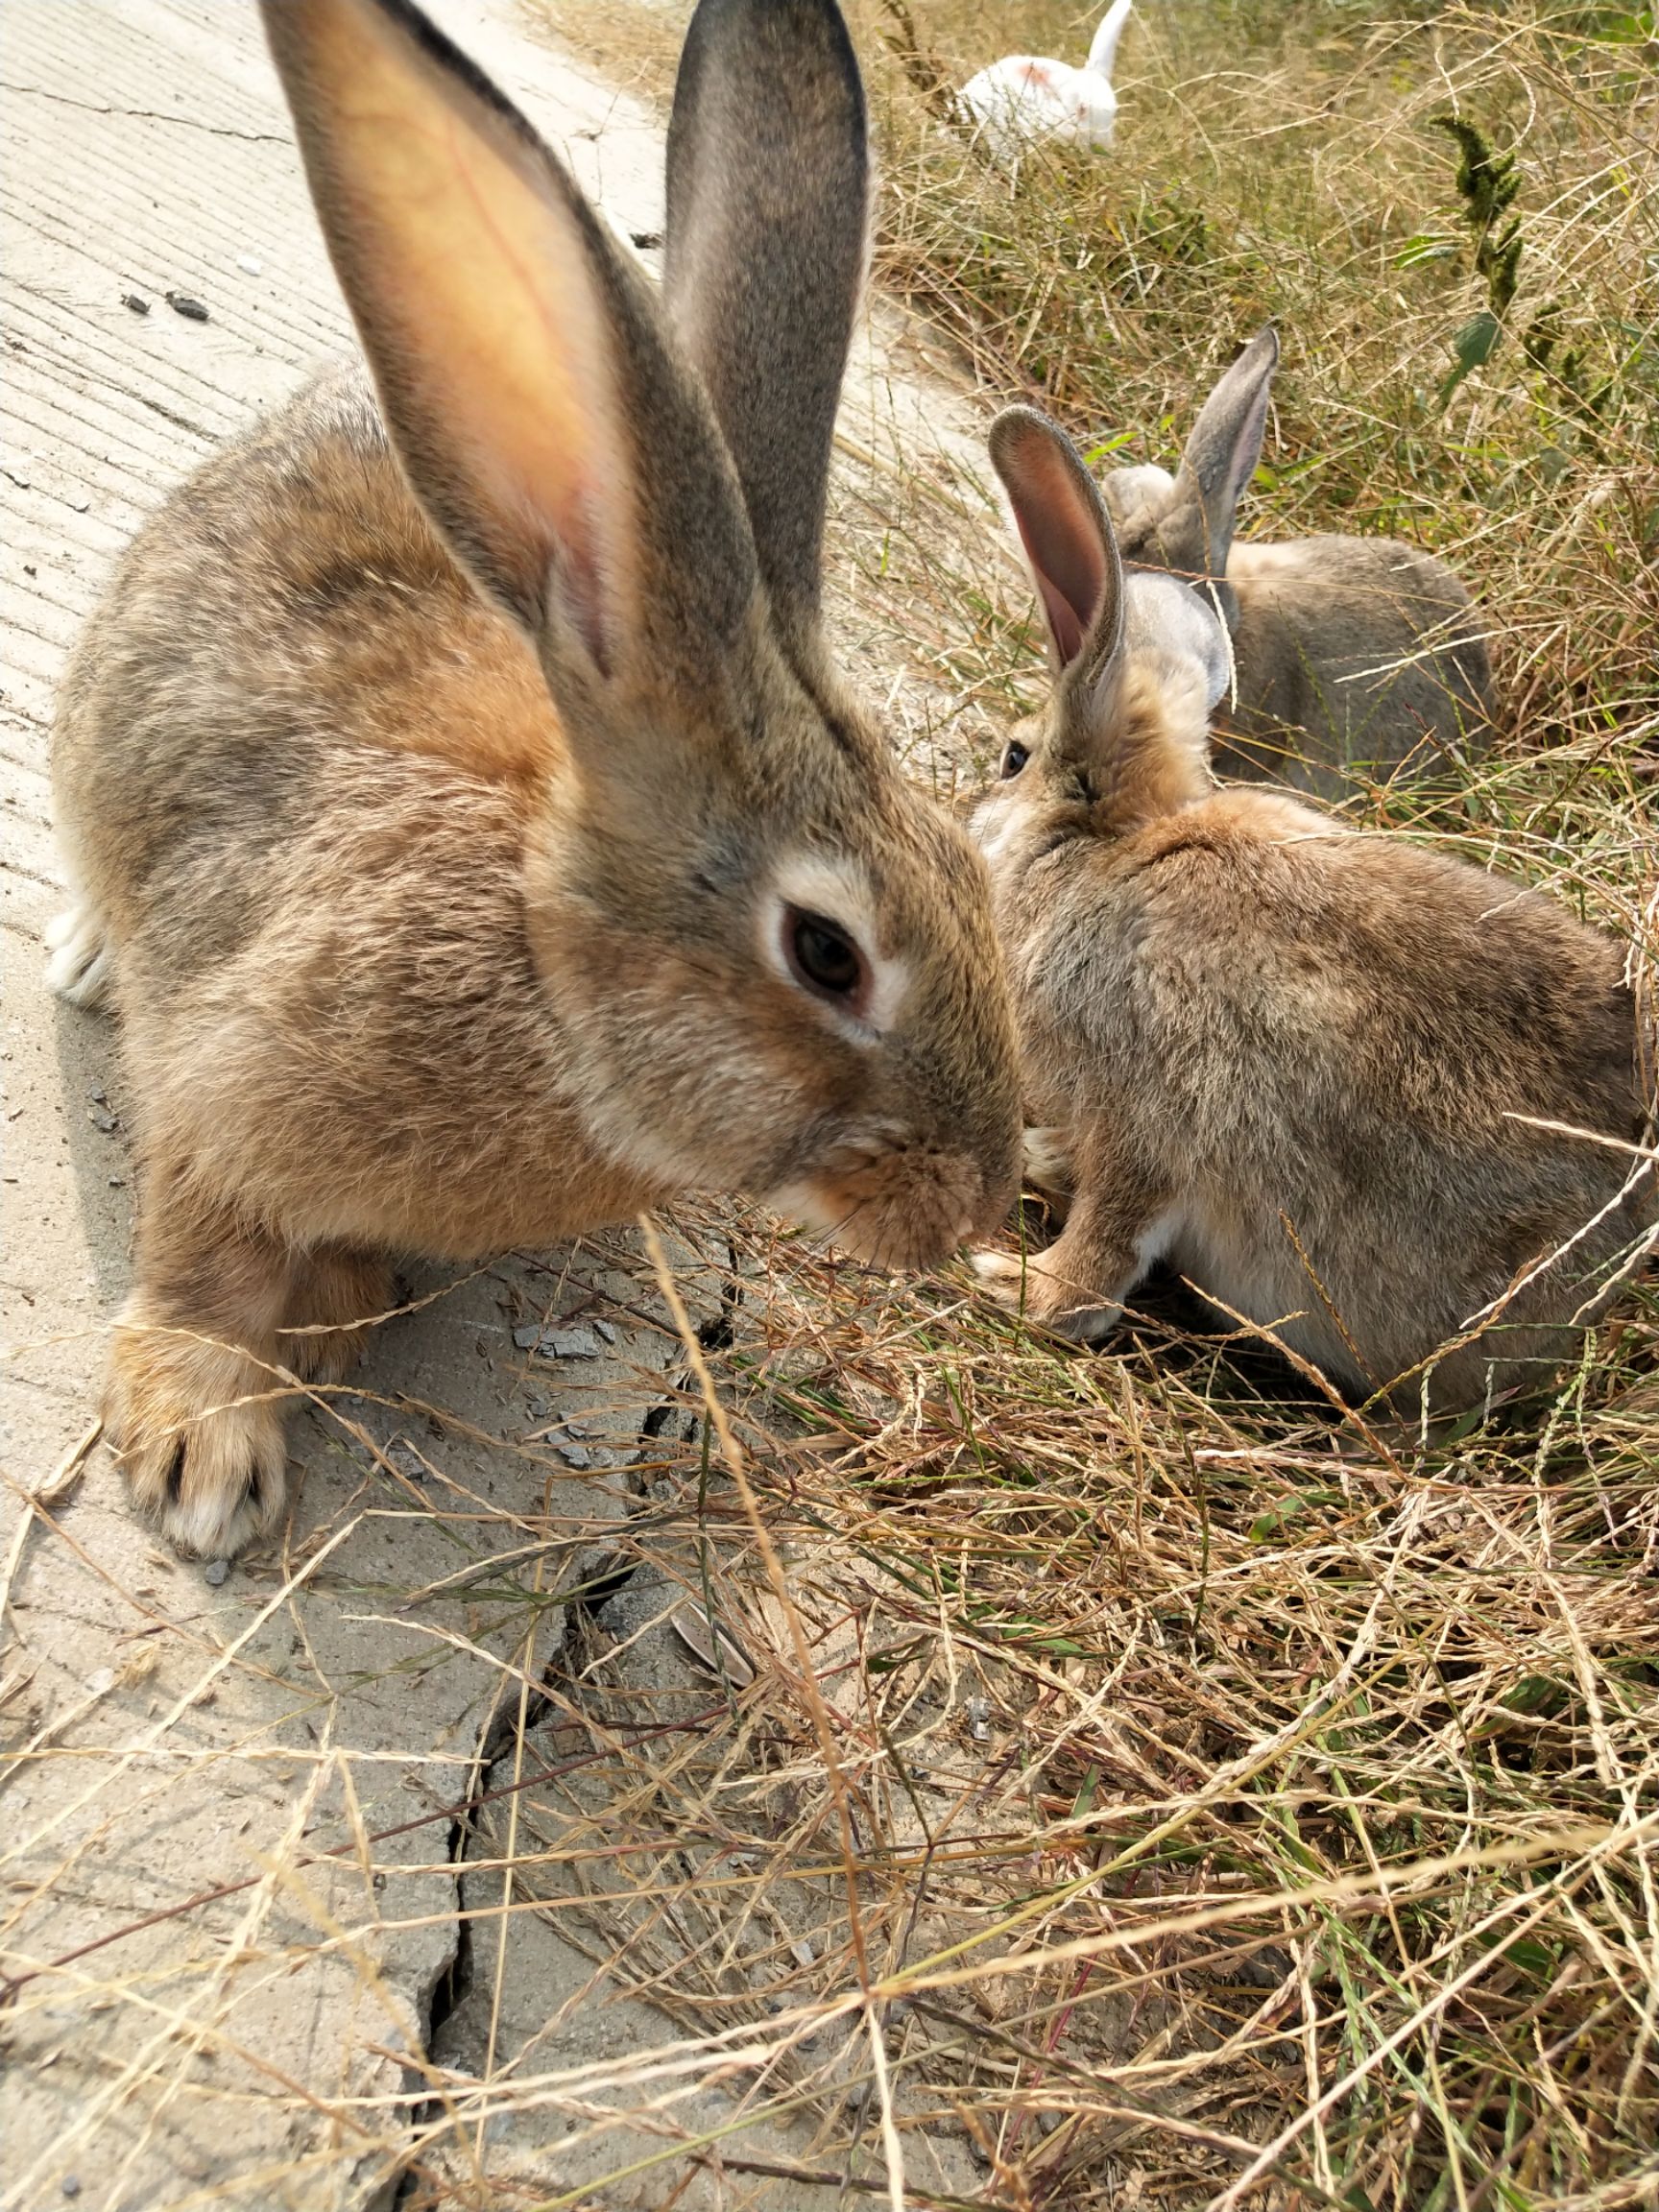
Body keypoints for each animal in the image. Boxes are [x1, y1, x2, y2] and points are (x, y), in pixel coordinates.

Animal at [45, 0, 1026, 1557]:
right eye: (827, 954)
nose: (971, 1207)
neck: (542, 965)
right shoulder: (215, 1086)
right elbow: (205, 1267)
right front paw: (204, 1454)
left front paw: (338, 1310)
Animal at [969, 411, 1654, 1415]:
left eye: (1013, 757)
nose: (967, 818)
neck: (1111, 852)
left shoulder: (1147, 1116)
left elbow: (1100, 1261)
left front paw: (1012, 1284)